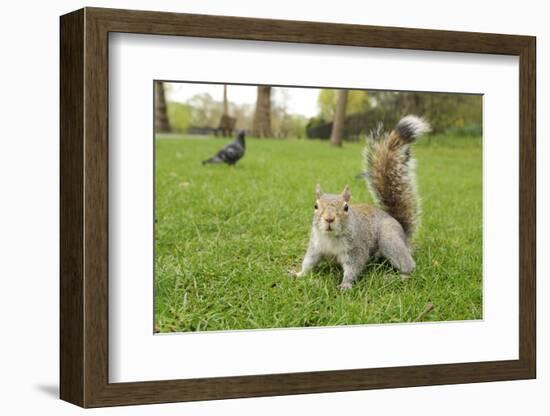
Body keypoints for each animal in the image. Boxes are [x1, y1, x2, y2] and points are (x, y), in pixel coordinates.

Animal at [294, 114, 432, 290]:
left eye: (346, 207)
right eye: (315, 206)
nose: (329, 219)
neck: (332, 237)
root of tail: (402, 231)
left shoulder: (356, 249)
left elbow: (354, 267)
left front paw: (345, 285)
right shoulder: (316, 246)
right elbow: (309, 262)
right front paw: (298, 274)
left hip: (389, 239)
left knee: (408, 265)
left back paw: (400, 277)